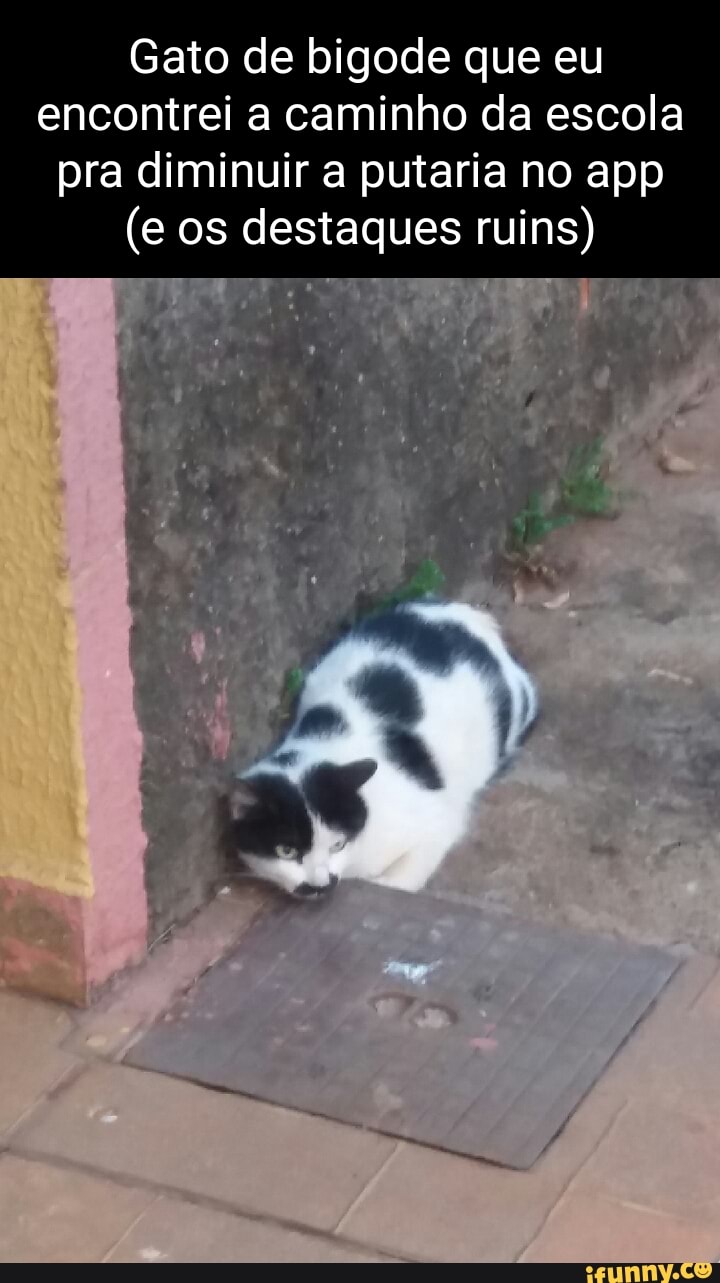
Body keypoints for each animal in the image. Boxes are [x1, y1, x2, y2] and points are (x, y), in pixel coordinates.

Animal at [227, 595, 536, 898]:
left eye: (337, 844)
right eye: (286, 851)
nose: (321, 883)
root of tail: (466, 615)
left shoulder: (438, 821)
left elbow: (399, 880)